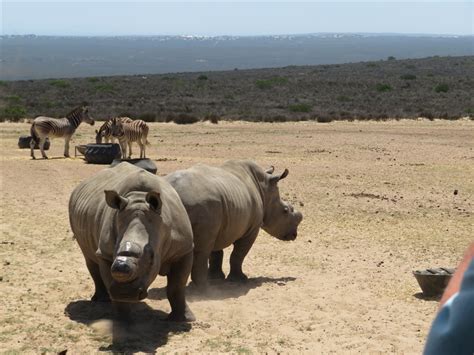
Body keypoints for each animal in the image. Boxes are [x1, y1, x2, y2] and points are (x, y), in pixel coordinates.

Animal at [69, 164, 195, 322]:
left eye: (151, 257)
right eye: (114, 250)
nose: (125, 293)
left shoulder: (184, 249)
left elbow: (177, 286)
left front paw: (184, 319)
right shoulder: (105, 253)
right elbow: (109, 278)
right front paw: (123, 321)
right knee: (89, 257)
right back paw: (102, 300)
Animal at [165, 160, 302, 290]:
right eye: (285, 210)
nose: (294, 235)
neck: (264, 189)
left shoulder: (220, 221)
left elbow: (216, 253)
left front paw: (216, 277)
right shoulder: (252, 229)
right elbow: (238, 254)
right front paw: (240, 279)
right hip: (201, 204)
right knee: (202, 250)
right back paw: (204, 289)